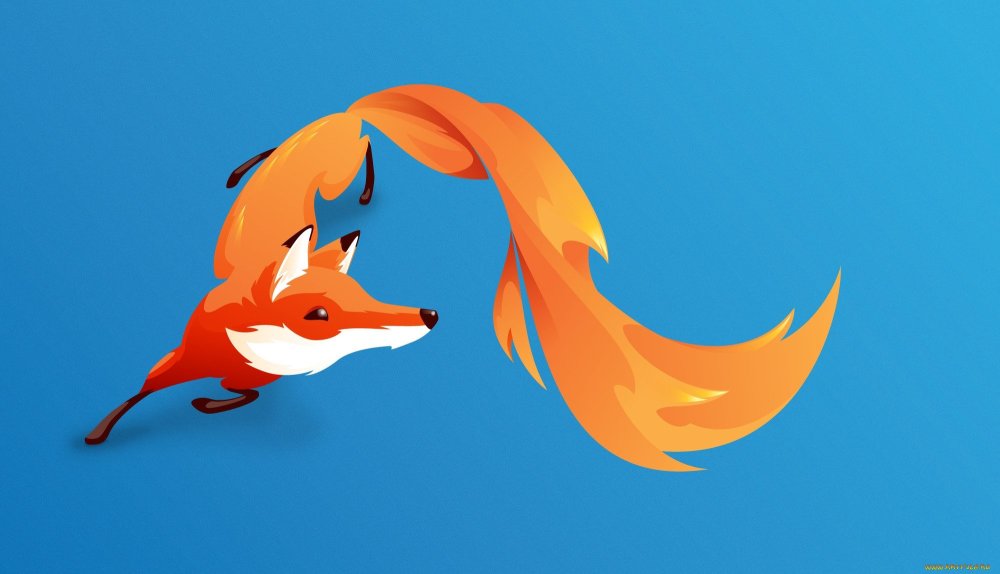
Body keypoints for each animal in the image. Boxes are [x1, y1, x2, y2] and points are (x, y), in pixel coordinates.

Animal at [86, 85, 839, 471]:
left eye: (364, 295)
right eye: (318, 315)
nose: (427, 315)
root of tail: (347, 108)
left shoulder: (254, 377)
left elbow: (235, 397)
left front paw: (207, 406)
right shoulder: (183, 356)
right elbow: (140, 393)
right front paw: (101, 435)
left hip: (341, 160)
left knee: (363, 156)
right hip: (325, 162)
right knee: (301, 151)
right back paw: (250, 173)